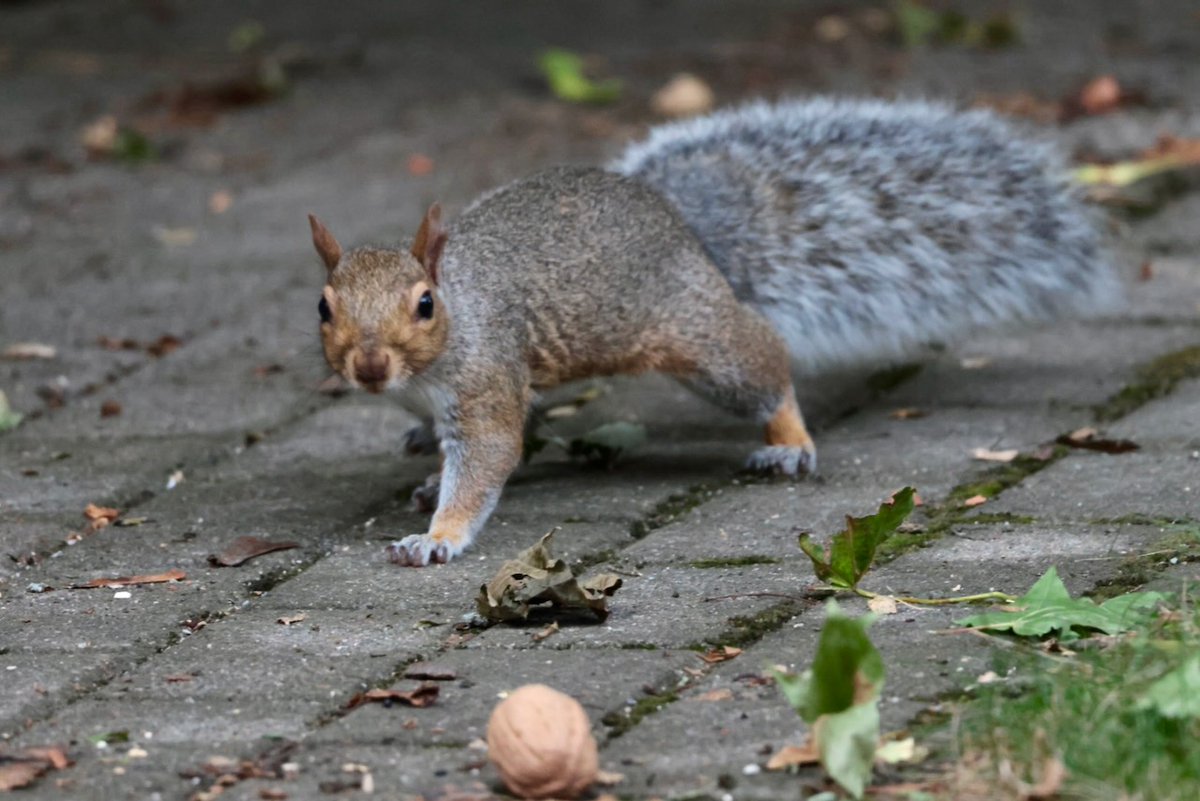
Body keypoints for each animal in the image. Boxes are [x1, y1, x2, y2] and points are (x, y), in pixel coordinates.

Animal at [308, 98, 1120, 567]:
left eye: (425, 304)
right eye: (323, 307)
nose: (369, 368)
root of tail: (685, 228)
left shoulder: (485, 380)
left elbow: (486, 459)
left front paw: (439, 537)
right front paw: (422, 464)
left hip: (702, 345)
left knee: (766, 368)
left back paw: (788, 442)